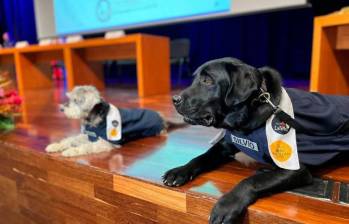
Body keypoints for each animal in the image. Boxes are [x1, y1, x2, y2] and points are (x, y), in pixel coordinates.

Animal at [45, 85, 174, 157]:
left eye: (77, 101)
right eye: (70, 99)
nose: (61, 109)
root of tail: (161, 116)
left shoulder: (104, 142)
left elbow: (86, 147)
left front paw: (71, 151)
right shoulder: (88, 135)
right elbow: (70, 140)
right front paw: (55, 146)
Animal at [162, 57, 348, 222]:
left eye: (207, 80)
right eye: (195, 79)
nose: (174, 99)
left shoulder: (295, 168)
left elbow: (252, 180)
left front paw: (227, 204)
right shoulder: (225, 145)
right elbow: (201, 157)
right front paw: (179, 171)